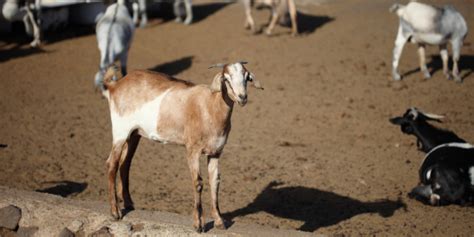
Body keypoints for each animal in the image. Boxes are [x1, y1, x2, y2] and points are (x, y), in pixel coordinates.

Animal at [102, 62, 262, 232]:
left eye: (247, 77)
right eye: (226, 78)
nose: (242, 97)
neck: (210, 107)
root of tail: (115, 86)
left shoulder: (215, 152)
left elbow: (215, 182)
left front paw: (219, 222)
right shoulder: (192, 150)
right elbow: (198, 182)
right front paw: (198, 224)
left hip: (134, 135)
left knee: (125, 164)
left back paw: (129, 204)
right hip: (120, 131)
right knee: (112, 164)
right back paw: (115, 212)